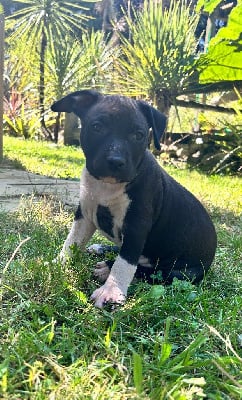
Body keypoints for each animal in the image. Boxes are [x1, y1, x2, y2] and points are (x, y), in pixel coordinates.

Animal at [51, 90, 217, 308]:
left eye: (138, 135)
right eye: (97, 127)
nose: (116, 161)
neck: (108, 186)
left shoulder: (137, 226)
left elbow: (125, 262)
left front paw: (111, 291)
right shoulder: (84, 214)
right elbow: (73, 241)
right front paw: (60, 263)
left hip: (184, 273)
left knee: (153, 272)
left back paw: (107, 268)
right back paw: (101, 248)